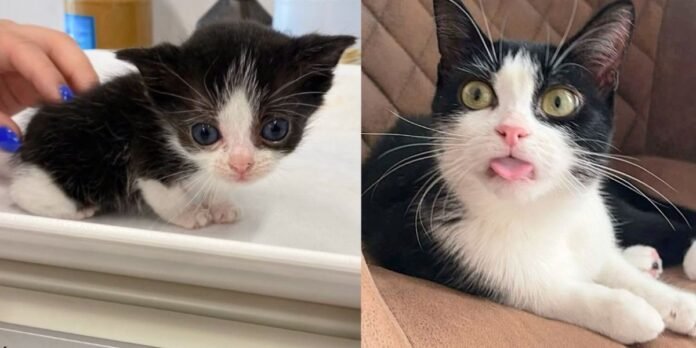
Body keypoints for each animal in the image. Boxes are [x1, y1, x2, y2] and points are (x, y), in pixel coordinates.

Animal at [10, 21, 356, 228]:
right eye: (204, 133)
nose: (241, 165)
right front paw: (189, 215)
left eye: (275, 129)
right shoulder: (143, 150)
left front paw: (218, 203)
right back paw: (78, 208)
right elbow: (162, 193)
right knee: (23, 192)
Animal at [362, 0, 696, 342]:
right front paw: (630, 311)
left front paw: (677, 303)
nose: (511, 130)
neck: (539, 212)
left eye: (559, 101)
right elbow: (540, 287)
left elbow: (611, 265)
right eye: (475, 94)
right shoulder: (413, 235)